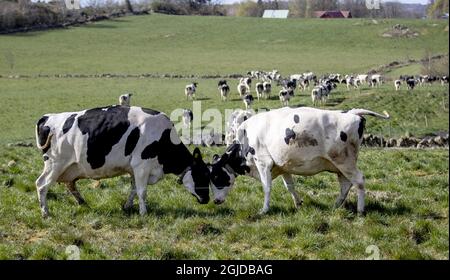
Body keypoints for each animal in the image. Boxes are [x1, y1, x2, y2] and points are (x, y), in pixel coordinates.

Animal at [35, 105, 211, 217]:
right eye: (201, 176)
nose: (207, 200)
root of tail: (47, 117)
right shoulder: (141, 166)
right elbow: (142, 191)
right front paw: (144, 213)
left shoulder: (134, 169)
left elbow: (133, 189)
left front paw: (128, 206)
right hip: (55, 163)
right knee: (41, 184)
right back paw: (45, 213)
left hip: (71, 167)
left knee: (70, 184)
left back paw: (82, 203)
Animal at [209, 106, 388, 213]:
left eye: (216, 177)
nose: (215, 201)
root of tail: (352, 112)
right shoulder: (282, 166)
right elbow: (290, 186)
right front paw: (298, 203)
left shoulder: (263, 163)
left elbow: (266, 187)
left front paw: (264, 210)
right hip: (340, 165)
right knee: (346, 184)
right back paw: (336, 205)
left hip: (344, 162)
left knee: (359, 180)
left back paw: (360, 210)